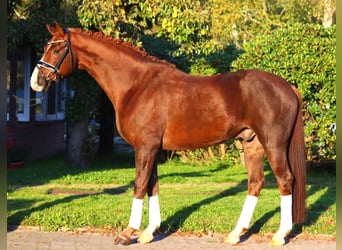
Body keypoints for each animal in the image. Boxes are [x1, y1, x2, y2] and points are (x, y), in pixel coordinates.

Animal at [30, 23, 306, 246]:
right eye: (45, 47)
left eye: (57, 50)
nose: (37, 81)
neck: (137, 84)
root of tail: (288, 86)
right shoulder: (151, 148)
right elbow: (152, 185)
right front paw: (148, 232)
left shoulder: (144, 147)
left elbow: (140, 184)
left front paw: (127, 233)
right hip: (252, 144)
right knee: (255, 183)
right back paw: (236, 234)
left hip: (273, 145)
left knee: (285, 180)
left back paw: (280, 235)